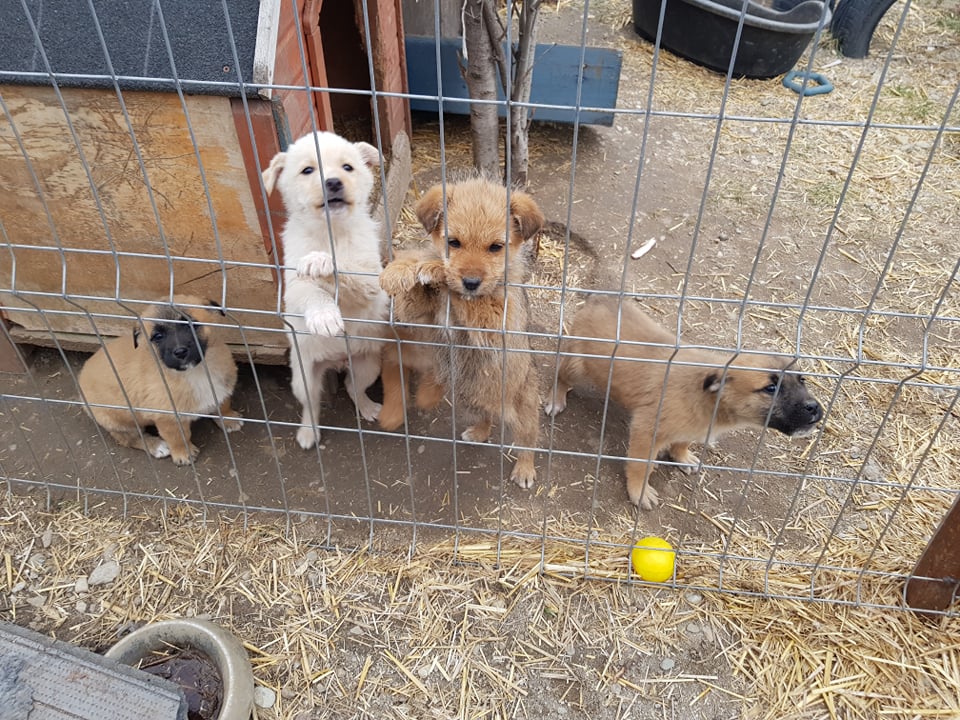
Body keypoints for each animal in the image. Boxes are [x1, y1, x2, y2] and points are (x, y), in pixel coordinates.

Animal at [79, 296, 244, 464]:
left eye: (190, 324)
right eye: (158, 336)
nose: (180, 351)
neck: (195, 372)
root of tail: (81, 376)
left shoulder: (222, 388)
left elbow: (223, 405)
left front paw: (229, 419)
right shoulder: (168, 417)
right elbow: (179, 437)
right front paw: (184, 453)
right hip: (119, 420)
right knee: (128, 439)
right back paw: (156, 446)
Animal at [260, 134, 388, 450]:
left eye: (347, 167)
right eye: (307, 170)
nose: (333, 182)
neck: (332, 234)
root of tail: (336, 360)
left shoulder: (371, 279)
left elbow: (347, 271)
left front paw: (322, 262)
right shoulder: (293, 287)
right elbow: (311, 292)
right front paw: (324, 317)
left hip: (368, 365)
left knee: (353, 388)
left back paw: (367, 408)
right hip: (302, 376)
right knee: (311, 404)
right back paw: (308, 432)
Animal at [382, 176, 548, 486]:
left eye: (496, 247)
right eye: (454, 242)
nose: (471, 281)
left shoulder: (494, 320)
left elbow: (466, 297)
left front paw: (434, 269)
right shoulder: (419, 313)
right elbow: (415, 294)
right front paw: (400, 270)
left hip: (525, 409)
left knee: (528, 439)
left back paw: (525, 468)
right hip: (471, 398)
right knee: (487, 416)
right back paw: (479, 432)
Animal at [544, 296, 820, 510]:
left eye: (802, 379)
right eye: (770, 388)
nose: (815, 408)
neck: (708, 398)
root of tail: (602, 299)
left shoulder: (694, 427)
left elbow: (682, 441)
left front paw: (682, 457)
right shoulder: (646, 430)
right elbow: (640, 465)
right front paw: (639, 492)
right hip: (578, 364)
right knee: (560, 373)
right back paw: (555, 399)